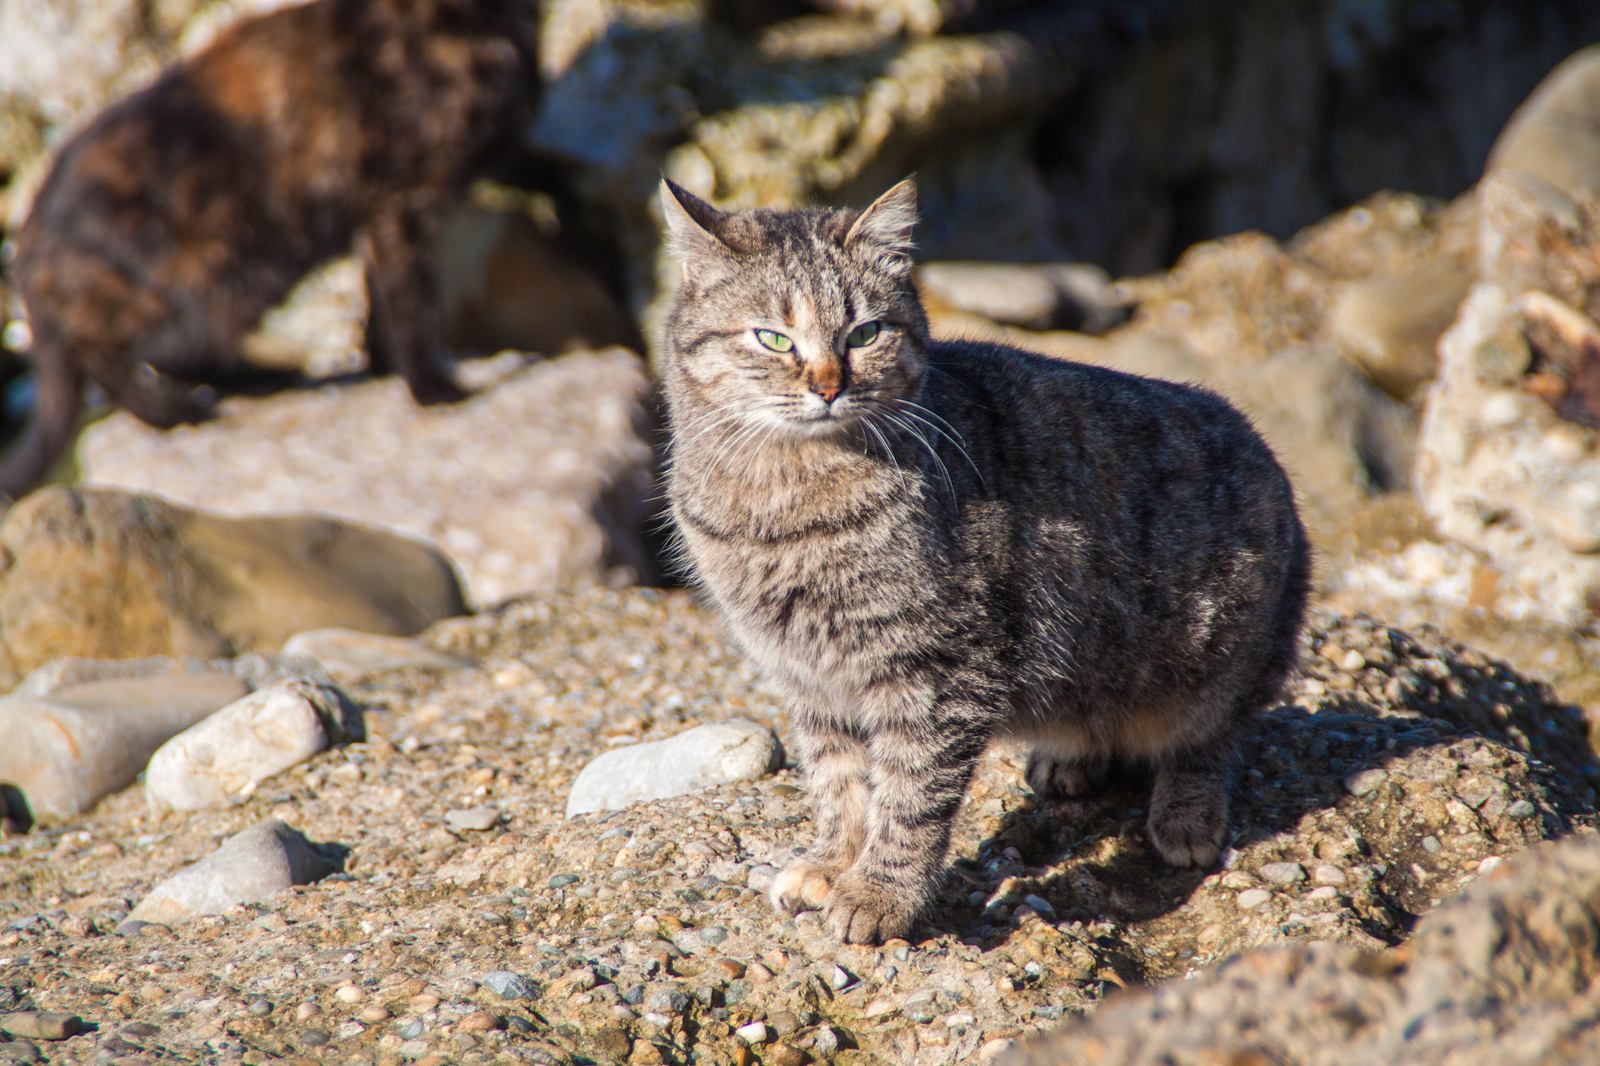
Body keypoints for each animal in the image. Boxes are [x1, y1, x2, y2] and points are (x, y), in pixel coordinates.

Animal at [0, 0, 537, 496]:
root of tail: (27, 249)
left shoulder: (381, 215)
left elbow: (380, 303)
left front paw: (386, 371)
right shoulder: (405, 201)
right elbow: (412, 305)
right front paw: (432, 388)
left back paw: (260, 380)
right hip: (202, 275)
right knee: (97, 352)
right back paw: (173, 410)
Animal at [656, 178, 1305, 941]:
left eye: (865, 334)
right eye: (773, 337)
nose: (827, 385)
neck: (783, 500)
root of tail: (1267, 454)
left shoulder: (943, 668)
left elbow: (908, 797)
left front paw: (879, 893)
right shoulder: (809, 677)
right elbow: (839, 781)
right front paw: (834, 861)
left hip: (1220, 657)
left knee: (1212, 738)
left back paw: (1187, 813)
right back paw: (1068, 758)